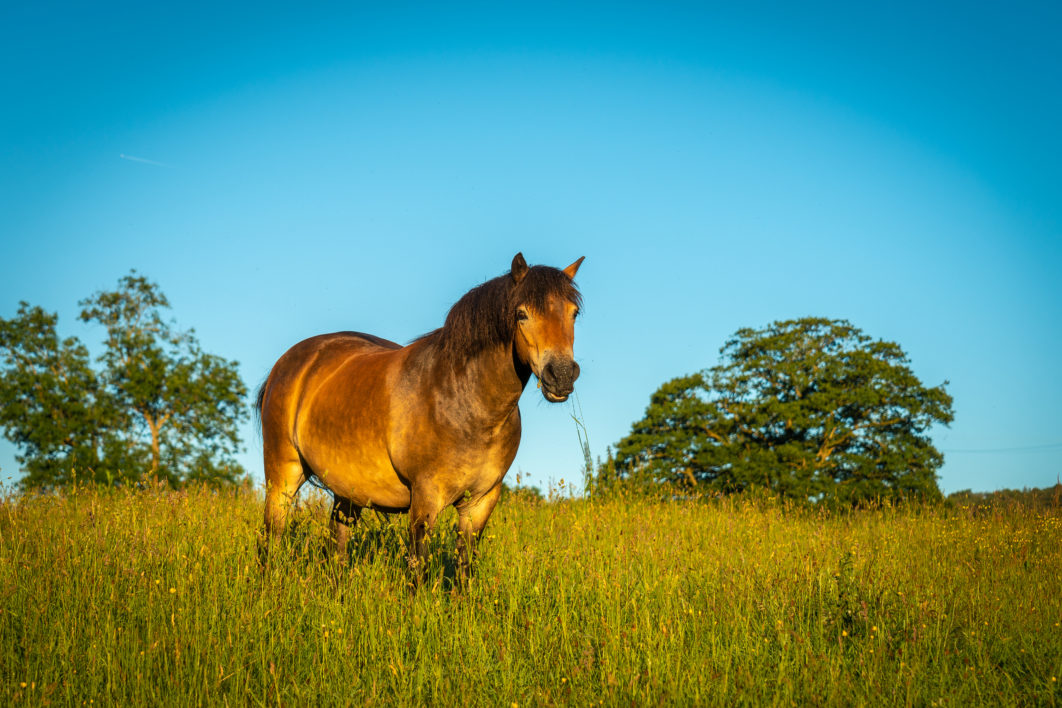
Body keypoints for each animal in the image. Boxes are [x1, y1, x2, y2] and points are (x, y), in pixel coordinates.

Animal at [259, 253, 590, 581]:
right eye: (521, 314)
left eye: (573, 313)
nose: (561, 374)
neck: (465, 401)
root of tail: (288, 363)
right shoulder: (425, 499)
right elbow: (417, 569)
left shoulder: (480, 502)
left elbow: (464, 569)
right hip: (283, 475)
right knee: (272, 535)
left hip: (347, 492)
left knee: (337, 547)